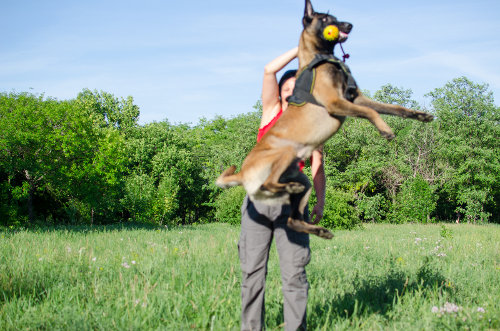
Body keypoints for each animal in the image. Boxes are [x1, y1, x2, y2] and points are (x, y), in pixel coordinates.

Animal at [217, 0, 432, 239]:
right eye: (327, 19)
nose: (350, 24)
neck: (319, 59)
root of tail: (242, 172)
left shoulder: (357, 98)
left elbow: (392, 108)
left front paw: (418, 115)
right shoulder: (335, 102)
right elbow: (372, 113)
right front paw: (385, 130)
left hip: (305, 183)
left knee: (292, 219)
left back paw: (318, 229)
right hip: (286, 152)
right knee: (268, 183)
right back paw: (289, 191)